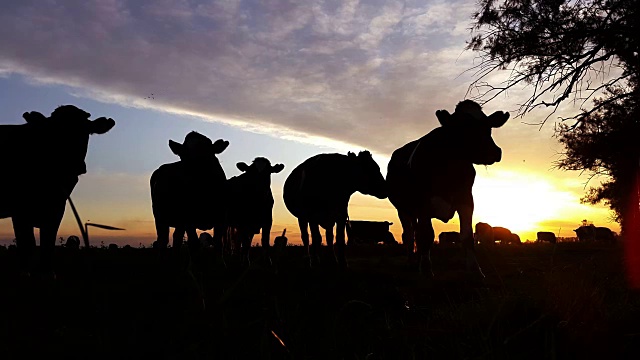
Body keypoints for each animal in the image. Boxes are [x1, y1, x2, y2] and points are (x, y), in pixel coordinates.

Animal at [0, 105, 114, 274]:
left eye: (86, 131)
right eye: (55, 131)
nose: (77, 165)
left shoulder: (58, 206)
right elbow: (27, 245)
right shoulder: (20, 209)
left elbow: (48, 242)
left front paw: (45, 272)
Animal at [384, 100, 510, 278]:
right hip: (403, 209)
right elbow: (426, 235)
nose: (494, 151)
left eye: (488, 126)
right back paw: (411, 263)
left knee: (415, 234)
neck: (450, 167)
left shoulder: (466, 200)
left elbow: (467, 236)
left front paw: (475, 270)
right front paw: (427, 269)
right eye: (461, 127)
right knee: (408, 235)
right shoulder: (423, 204)